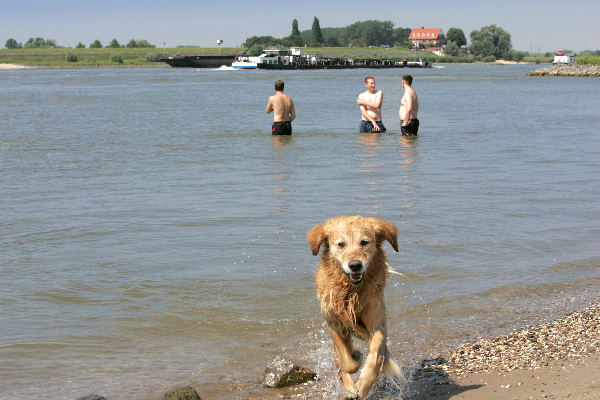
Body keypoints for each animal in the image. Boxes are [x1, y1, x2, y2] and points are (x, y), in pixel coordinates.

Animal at [308, 217, 400, 398]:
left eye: (364, 242)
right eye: (340, 244)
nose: (355, 265)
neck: (351, 291)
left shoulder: (377, 321)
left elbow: (376, 352)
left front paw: (364, 384)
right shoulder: (333, 322)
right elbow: (347, 361)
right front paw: (355, 360)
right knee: (339, 362)